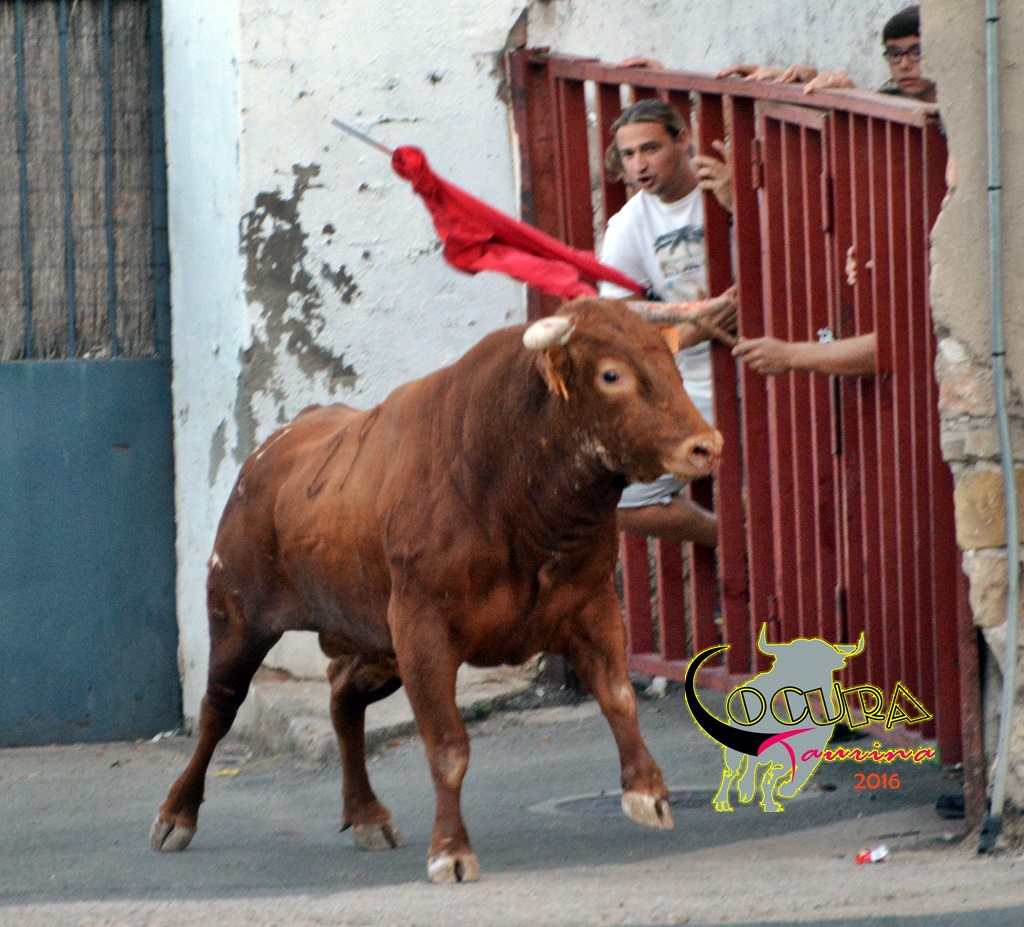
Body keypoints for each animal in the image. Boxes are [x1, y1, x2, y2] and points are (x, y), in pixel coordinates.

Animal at [150, 297, 723, 883]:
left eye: (674, 362)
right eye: (611, 374)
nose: (706, 446)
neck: (513, 485)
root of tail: (272, 449)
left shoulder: (592, 604)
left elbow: (618, 697)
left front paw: (647, 792)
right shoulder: (423, 629)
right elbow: (448, 746)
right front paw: (451, 850)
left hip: (375, 642)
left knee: (342, 699)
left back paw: (366, 814)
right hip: (237, 616)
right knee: (219, 707)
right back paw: (176, 815)